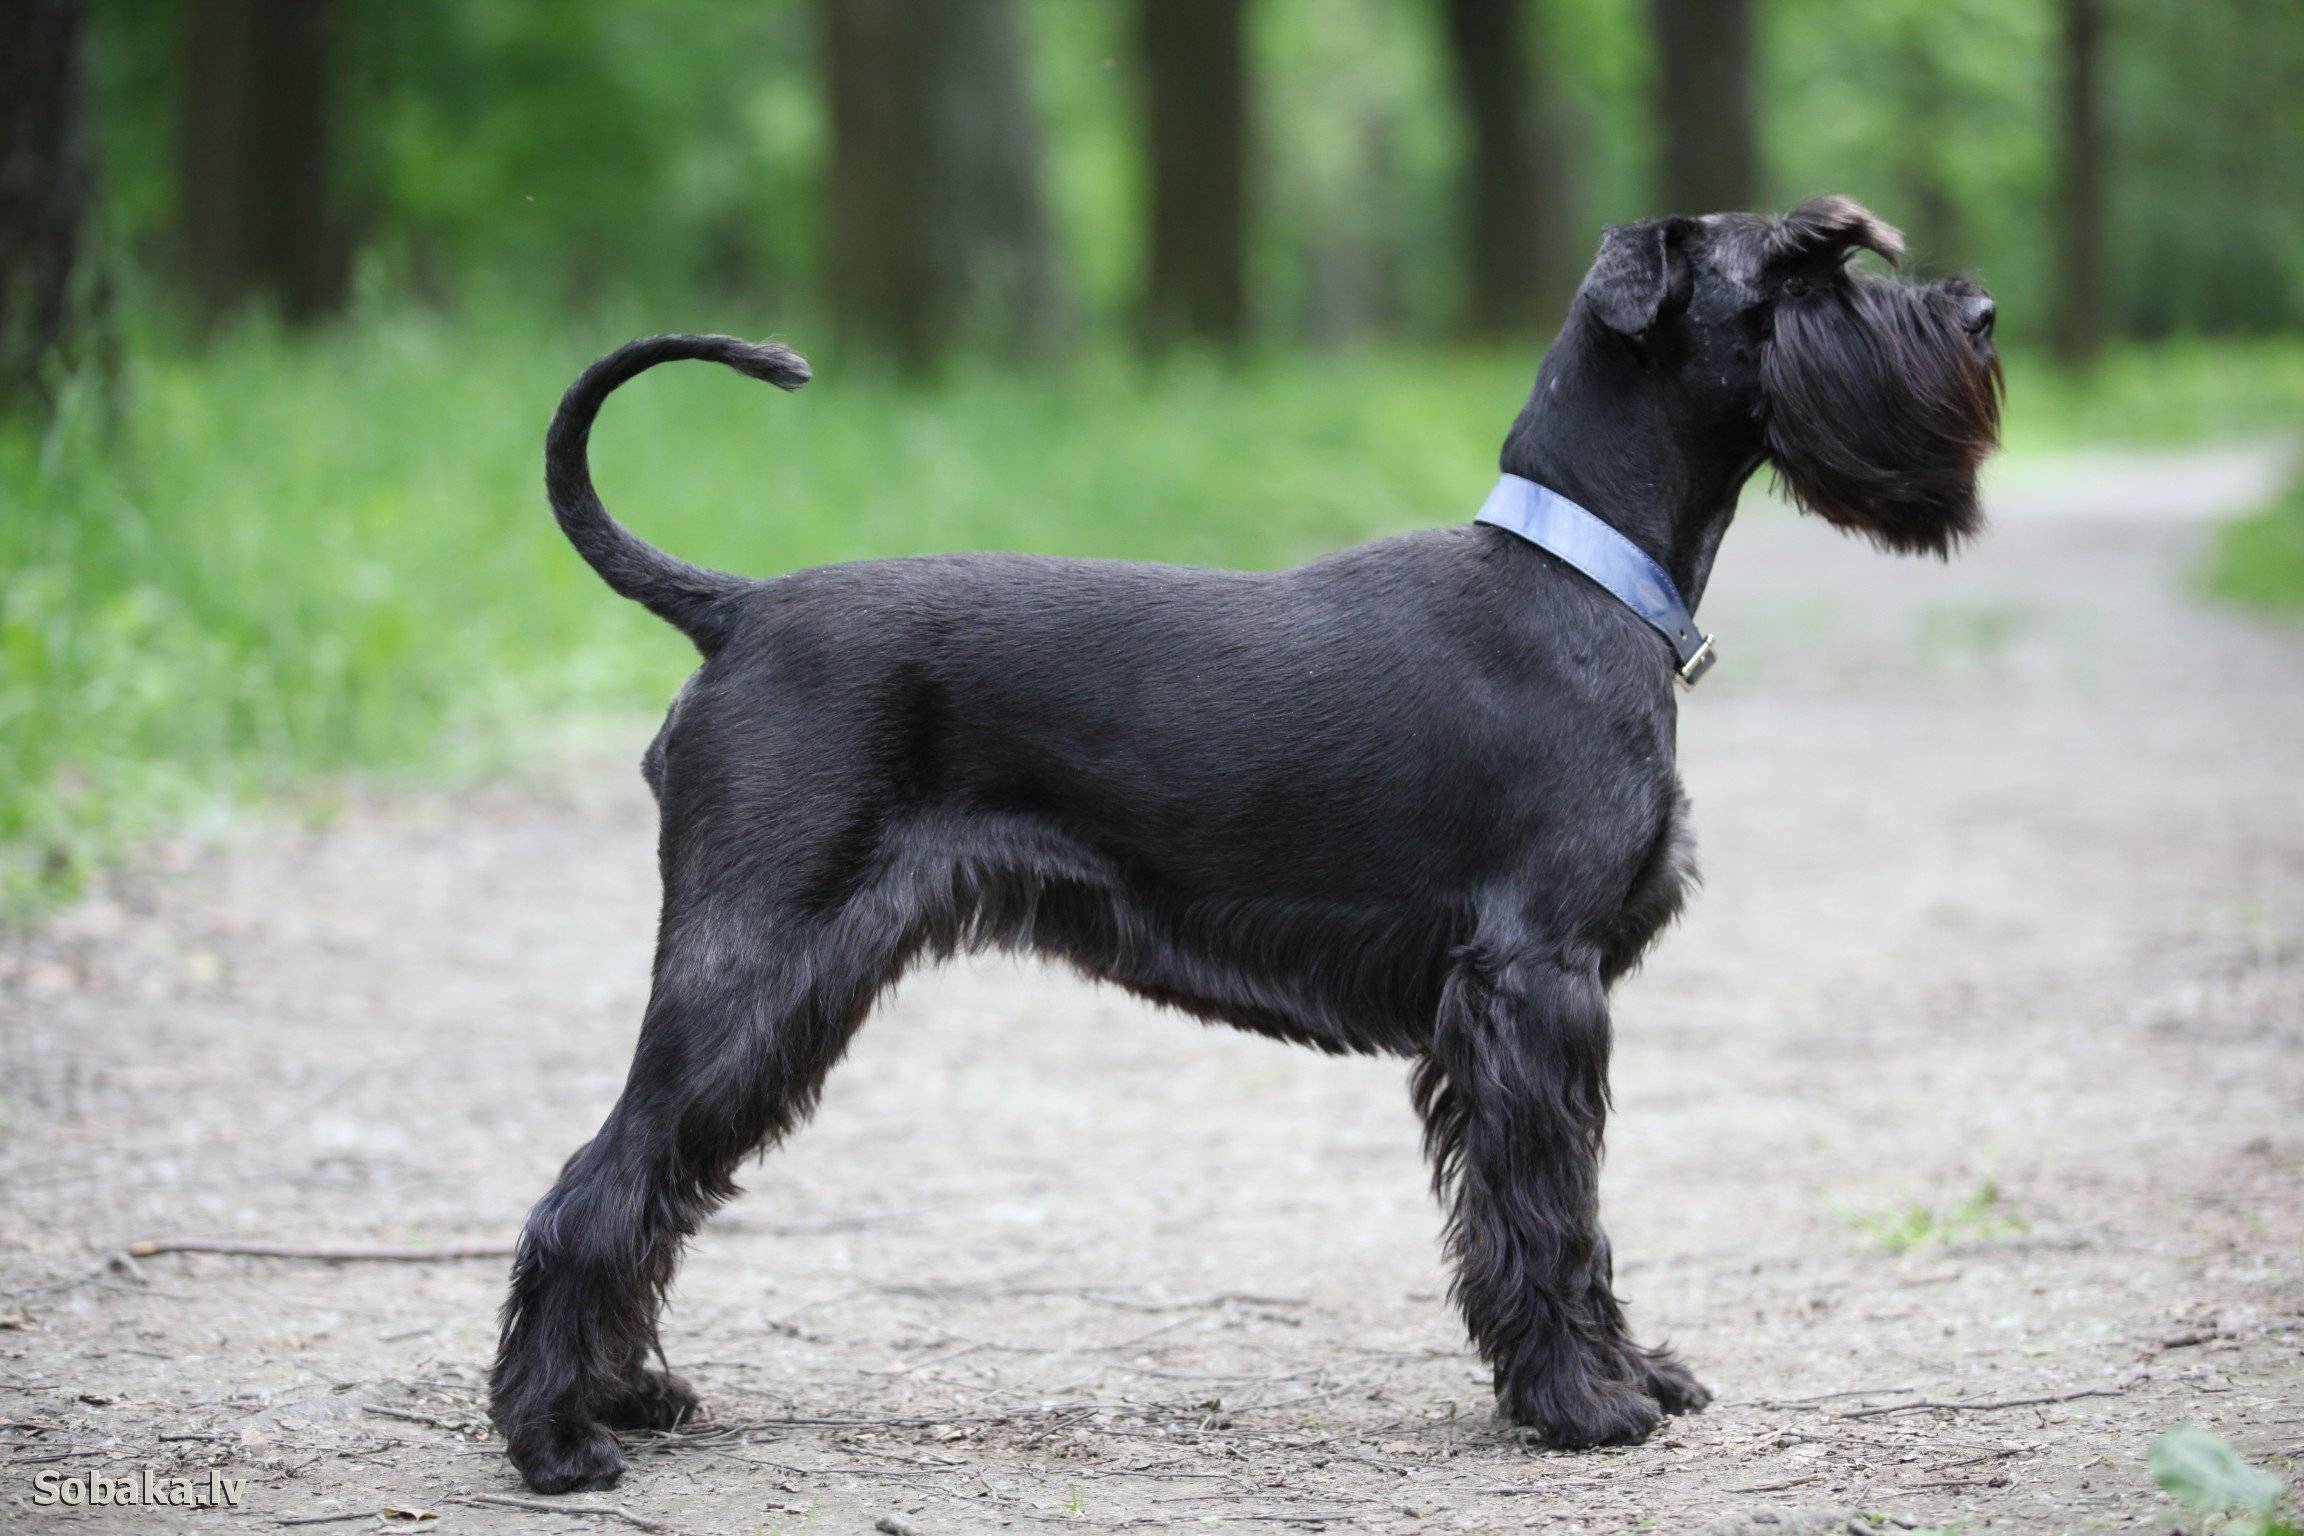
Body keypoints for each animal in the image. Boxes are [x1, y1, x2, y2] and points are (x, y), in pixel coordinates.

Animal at [490, 192, 1999, 1492]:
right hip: (752, 968)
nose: (1979, 312)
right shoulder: (1536, 986)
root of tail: (736, 610)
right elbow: (1551, 1209)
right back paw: (559, 1441)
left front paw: (1634, 1373)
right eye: (1805, 269)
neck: (1584, 575)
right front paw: (1584, 1402)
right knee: (598, 1185)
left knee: (652, 1185)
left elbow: (1566, 1212)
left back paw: (626, 1394)